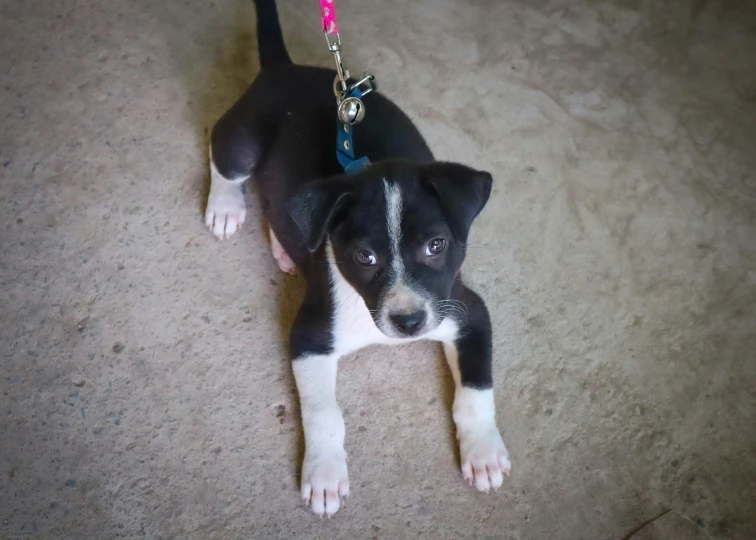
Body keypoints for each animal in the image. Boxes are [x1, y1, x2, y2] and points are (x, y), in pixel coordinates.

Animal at [207, 0, 512, 516]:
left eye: (436, 246)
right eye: (364, 257)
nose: (409, 323)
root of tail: (285, 68)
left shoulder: (467, 310)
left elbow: (475, 390)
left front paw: (484, 451)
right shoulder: (309, 336)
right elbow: (325, 413)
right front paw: (325, 473)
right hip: (242, 138)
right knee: (224, 157)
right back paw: (226, 206)